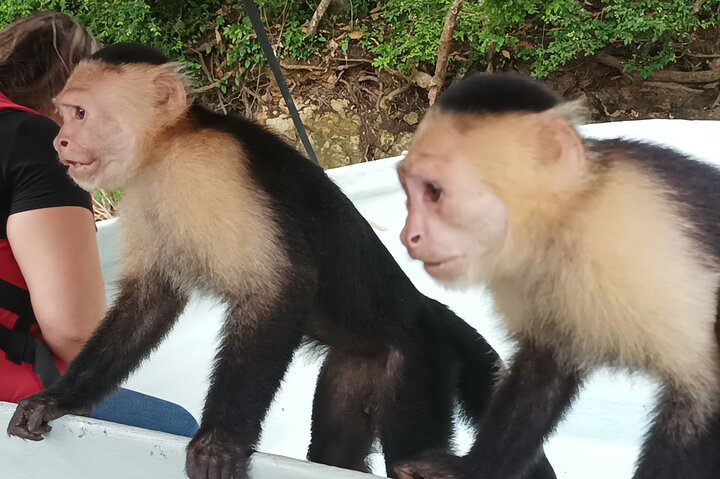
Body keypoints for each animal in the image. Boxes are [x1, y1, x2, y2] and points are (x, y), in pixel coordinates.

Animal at [4, 44, 557, 479]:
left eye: (78, 114)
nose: (58, 140)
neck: (166, 150)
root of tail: (423, 307)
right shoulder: (140, 194)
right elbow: (147, 302)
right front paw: (59, 398)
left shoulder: (215, 167)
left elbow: (278, 286)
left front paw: (221, 441)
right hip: (359, 366)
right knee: (335, 453)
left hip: (421, 360)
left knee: (408, 455)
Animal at [393, 70, 720, 479]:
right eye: (408, 192)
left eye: (434, 192)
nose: (409, 237)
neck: (566, 221)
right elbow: (542, 371)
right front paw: (469, 469)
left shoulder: (652, 239)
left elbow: (703, 392)